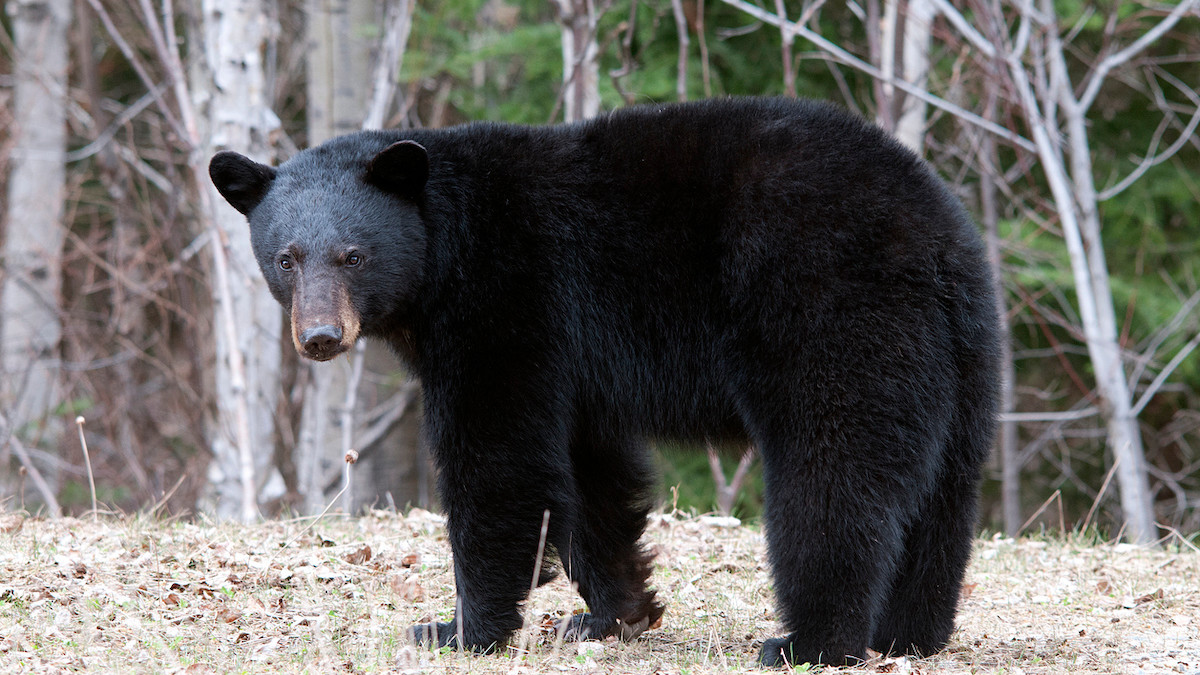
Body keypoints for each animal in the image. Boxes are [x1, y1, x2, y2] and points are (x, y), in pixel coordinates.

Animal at [209, 97, 1000, 667]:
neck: (444, 248)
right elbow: (590, 474)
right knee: (943, 492)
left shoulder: (508, 303)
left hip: (829, 313)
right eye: (286, 257)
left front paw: (460, 628)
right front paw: (610, 614)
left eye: (353, 255)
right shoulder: (575, 362)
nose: (320, 336)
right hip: (962, 358)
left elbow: (499, 459)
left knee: (832, 475)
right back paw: (910, 634)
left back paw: (808, 642)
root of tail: (932, 237)